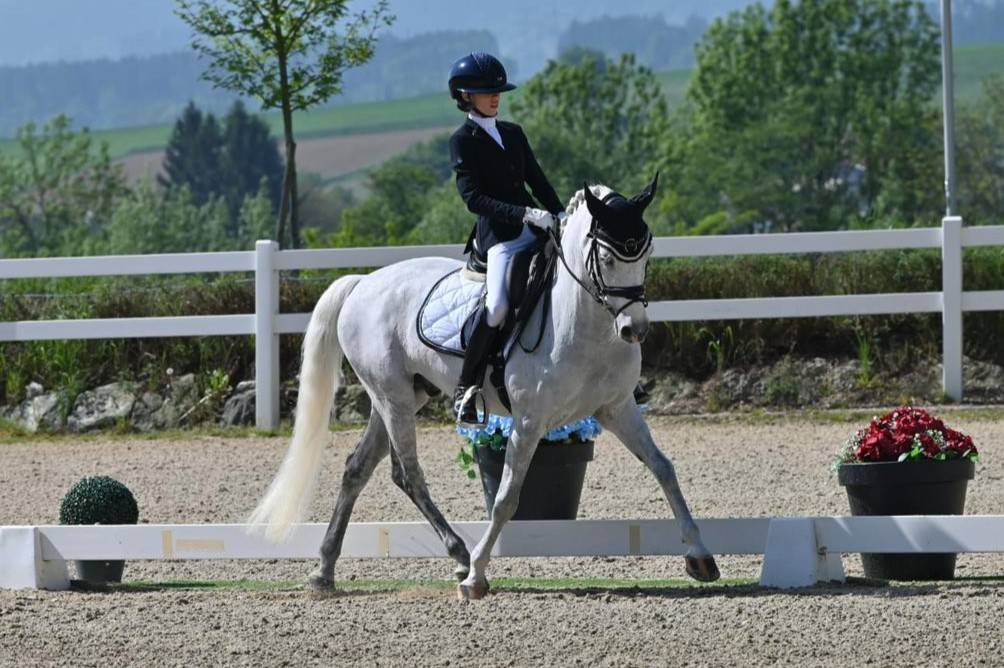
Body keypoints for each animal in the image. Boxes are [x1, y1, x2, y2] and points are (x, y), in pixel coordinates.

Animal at [248, 176, 720, 600]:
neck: (584, 324)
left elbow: (663, 467)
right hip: (391, 395)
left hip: (404, 395)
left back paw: (324, 570)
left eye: (647, 255)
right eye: (605, 258)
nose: (634, 330)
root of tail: (362, 283)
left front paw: (701, 557)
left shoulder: (617, 407)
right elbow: (507, 497)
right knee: (409, 473)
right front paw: (476, 577)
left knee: (357, 469)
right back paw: (458, 556)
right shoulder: (529, 421)